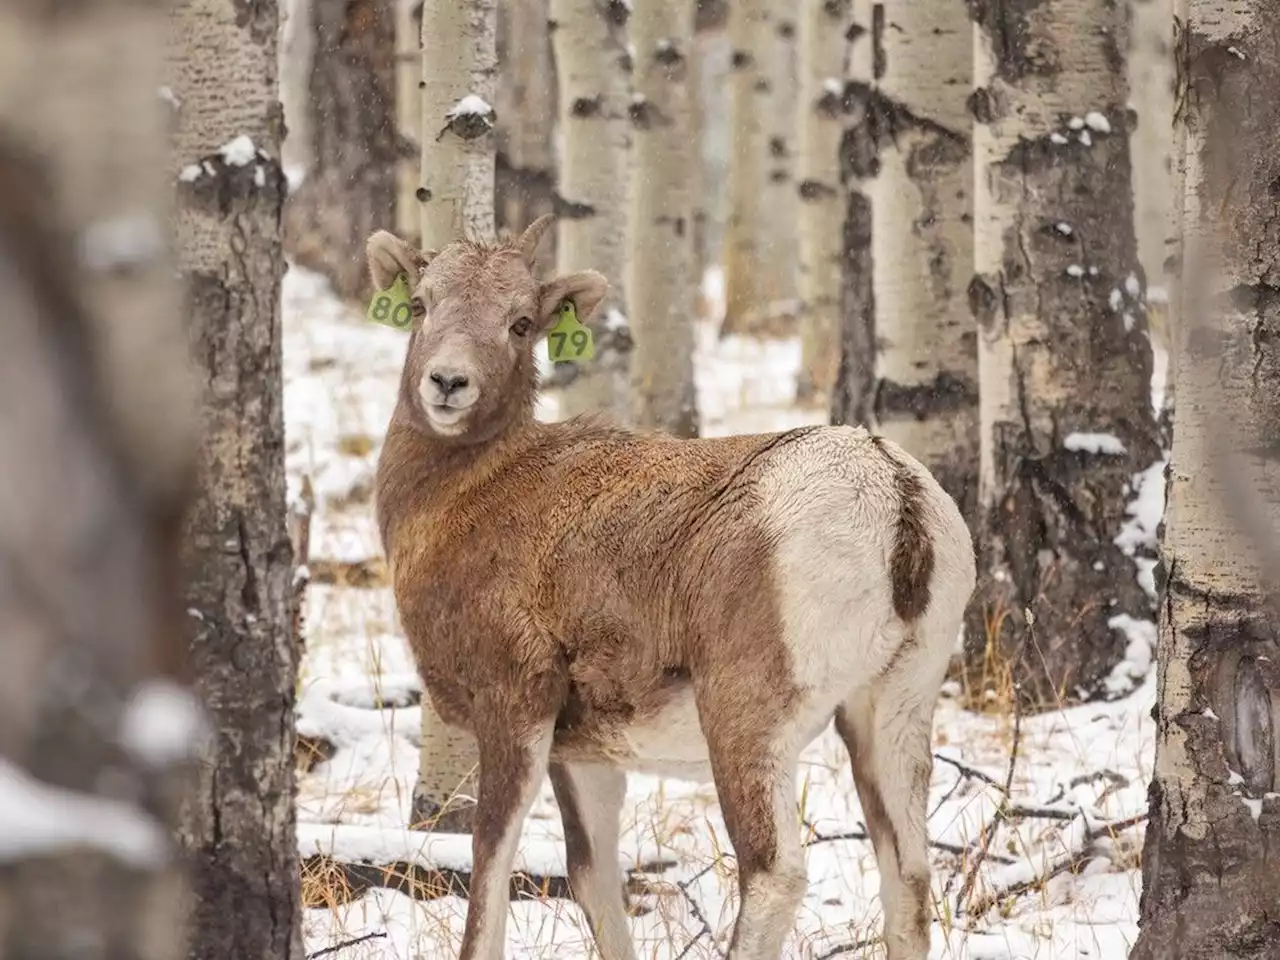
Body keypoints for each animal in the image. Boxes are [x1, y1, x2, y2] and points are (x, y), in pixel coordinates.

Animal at [371, 217, 977, 960]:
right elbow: (595, 879)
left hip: (747, 723)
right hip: (891, 711)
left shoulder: (516, 710)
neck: (466, 493)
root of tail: (898, 499)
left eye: (520, 322)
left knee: (775, 871)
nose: (448, 383)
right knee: (909, 875)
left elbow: (490, 869)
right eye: (420, 303)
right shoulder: (584, 752)